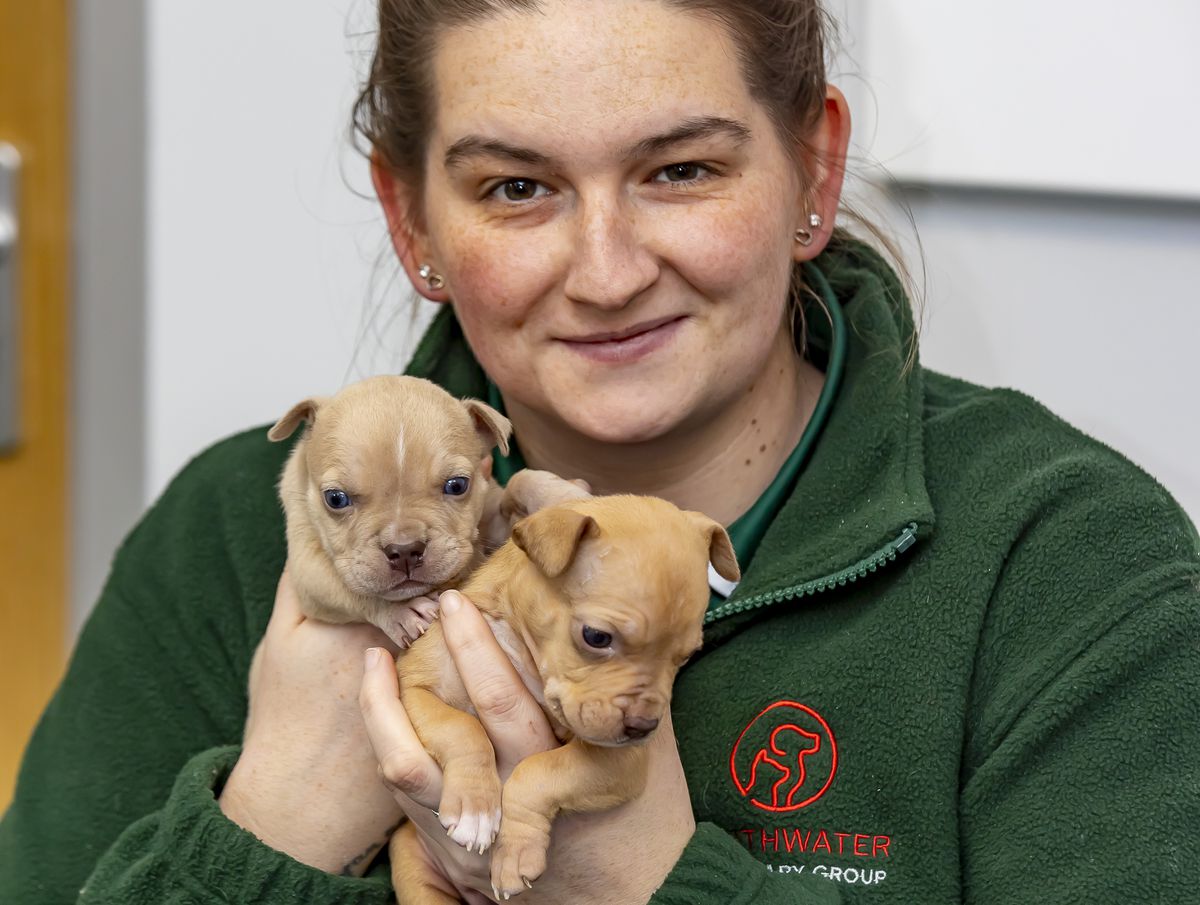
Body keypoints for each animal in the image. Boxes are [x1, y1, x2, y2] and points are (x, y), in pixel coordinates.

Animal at [267, 374, 511, 648]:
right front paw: (402, 611)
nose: (404, 551)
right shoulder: (308, 570)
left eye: (457, 485)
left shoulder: (491, 500)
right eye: (335, 499)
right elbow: (348, 589)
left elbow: (519, 485)